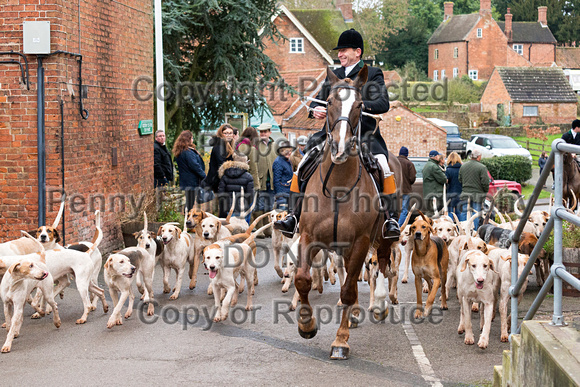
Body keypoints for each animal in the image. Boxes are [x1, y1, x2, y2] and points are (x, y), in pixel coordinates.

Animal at [294, 66, 398, 360]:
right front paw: (307, 325)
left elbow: (350, 289)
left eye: (360, 105)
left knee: (382, 265)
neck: (338, 183)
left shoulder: (361, 241)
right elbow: (303, 280)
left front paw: (340, 341)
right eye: (328, 102)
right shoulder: (308, 236)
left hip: (381, 238)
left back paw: (379, 305)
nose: (339, 148)